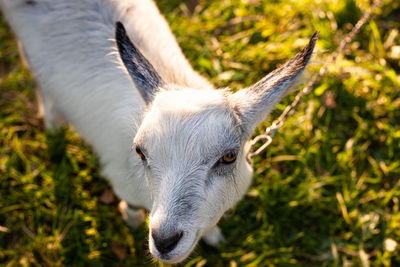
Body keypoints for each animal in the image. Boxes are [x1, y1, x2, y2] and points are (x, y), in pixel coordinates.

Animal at [0, 0, 318, 264]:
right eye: (140, 151)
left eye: (229, 156)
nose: (164, 241)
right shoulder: (121, 179)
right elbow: (129, 205)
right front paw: (129, 218)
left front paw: (214, 237)